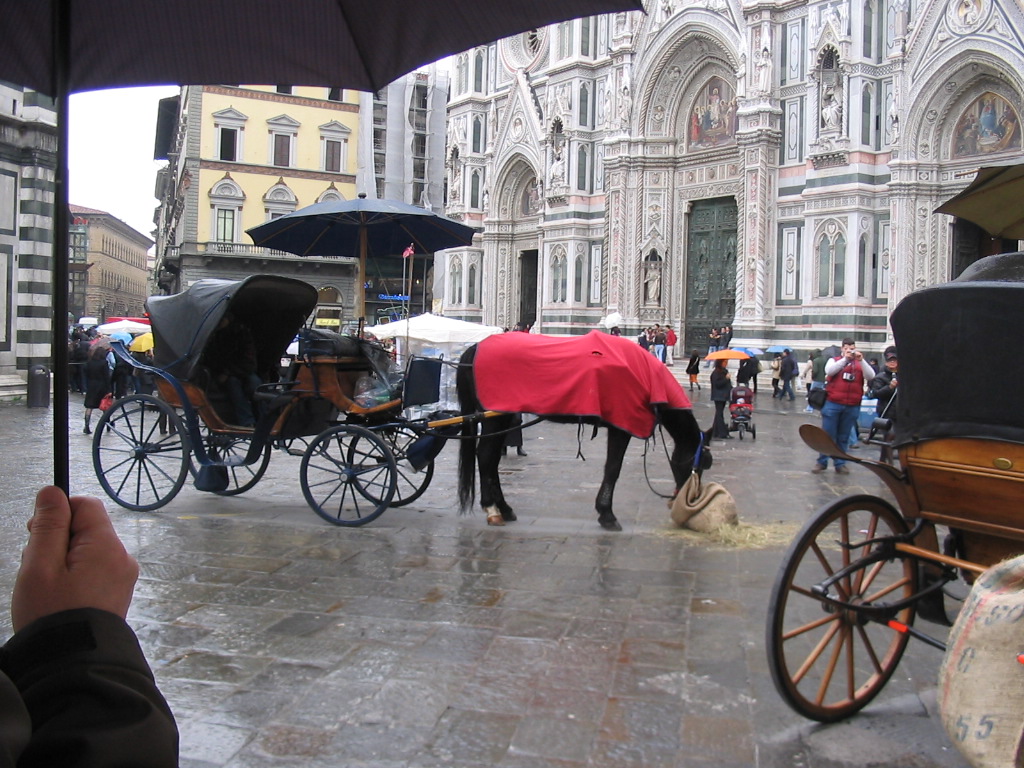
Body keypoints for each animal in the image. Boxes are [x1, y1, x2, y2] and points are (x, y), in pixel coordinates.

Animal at [456, 333, 712, 532]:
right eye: (703, 464)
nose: (689, 500)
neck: (646, 375)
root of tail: (475, 347)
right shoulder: (622, 423)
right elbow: (613, 468)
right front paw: (607, 514)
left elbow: (612, 467)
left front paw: (604, 511)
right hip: (495, 415)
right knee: (486, 456)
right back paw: (492, 509)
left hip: (504, 416)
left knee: (491, 459)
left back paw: (504, 509)